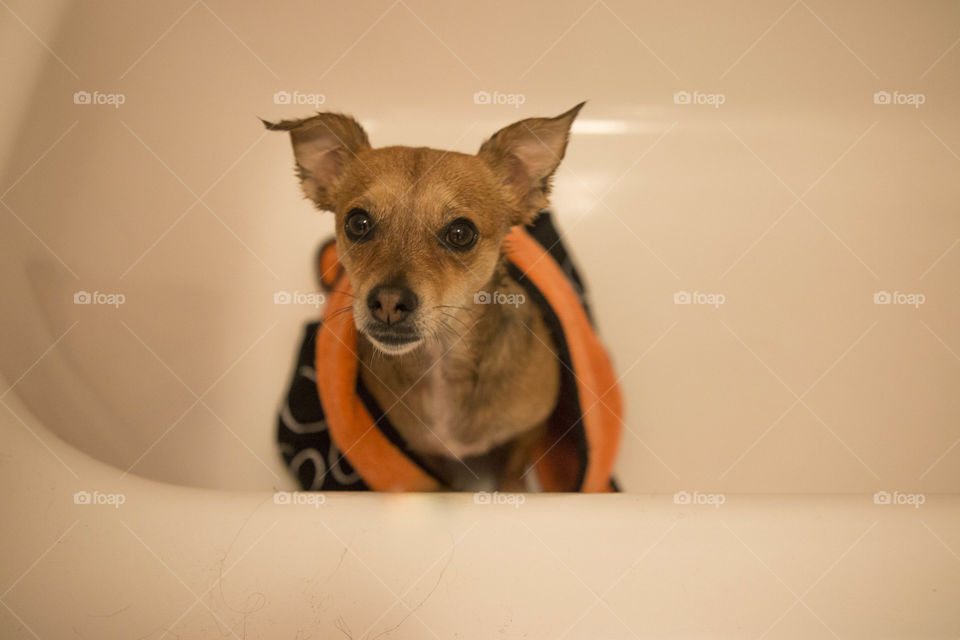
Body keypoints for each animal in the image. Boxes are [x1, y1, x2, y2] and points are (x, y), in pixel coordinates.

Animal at [266, 105, 588, 490]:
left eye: (461, 233)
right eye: (357, 223)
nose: (388, 302)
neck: (441, 362)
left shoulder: (528, 431)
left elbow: (513, 468)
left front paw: (513, 491)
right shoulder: (423, 449)